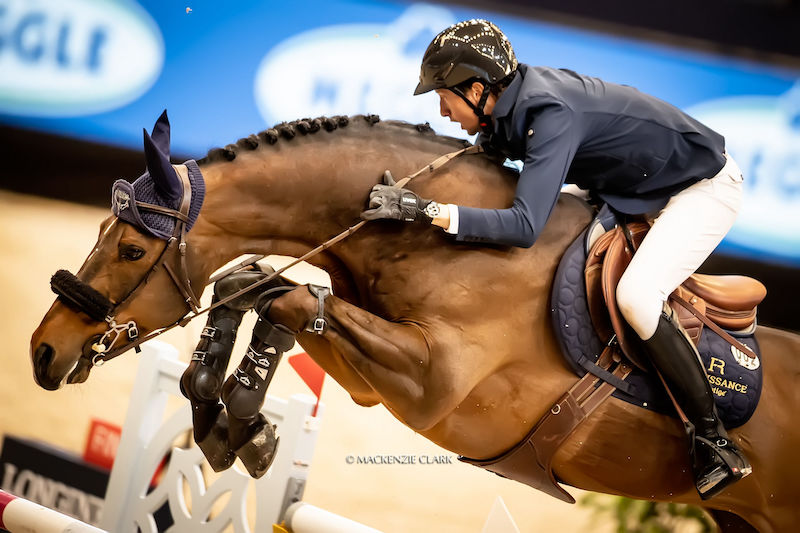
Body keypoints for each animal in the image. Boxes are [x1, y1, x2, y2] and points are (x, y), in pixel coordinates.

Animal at [29, 114, 800, 528]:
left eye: (132, 249)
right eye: (101, 228)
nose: (42, 350)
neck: (436, 239)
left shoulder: (434, 386)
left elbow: (285, 297)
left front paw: (242, 426)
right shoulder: (374, 382)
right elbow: (260, 287)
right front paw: (231, 420)